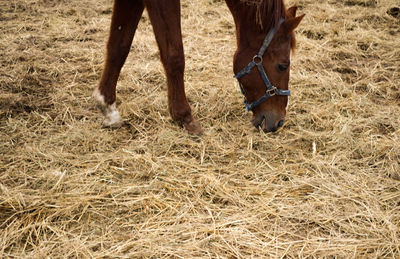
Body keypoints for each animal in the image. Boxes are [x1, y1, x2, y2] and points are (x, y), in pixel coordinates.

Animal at [92, 0, 304, 134]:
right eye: (283, 66)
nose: (279, 121)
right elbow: (174, 56)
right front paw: (184, 116)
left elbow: (119, 45)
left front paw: (107, 105)